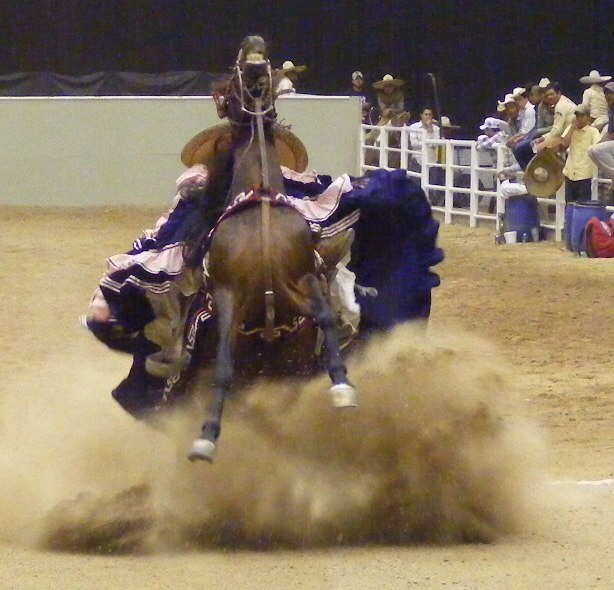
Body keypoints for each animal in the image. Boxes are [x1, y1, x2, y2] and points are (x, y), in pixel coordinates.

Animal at [190, 35, 358, 462]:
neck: (260, 199)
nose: (253, 52)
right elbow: (224, 366)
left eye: (264, 60)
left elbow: (326, 318)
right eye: (235, 69)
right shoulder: (229, 295)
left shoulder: (304, 278)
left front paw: (342, 387)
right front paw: (207, 435)